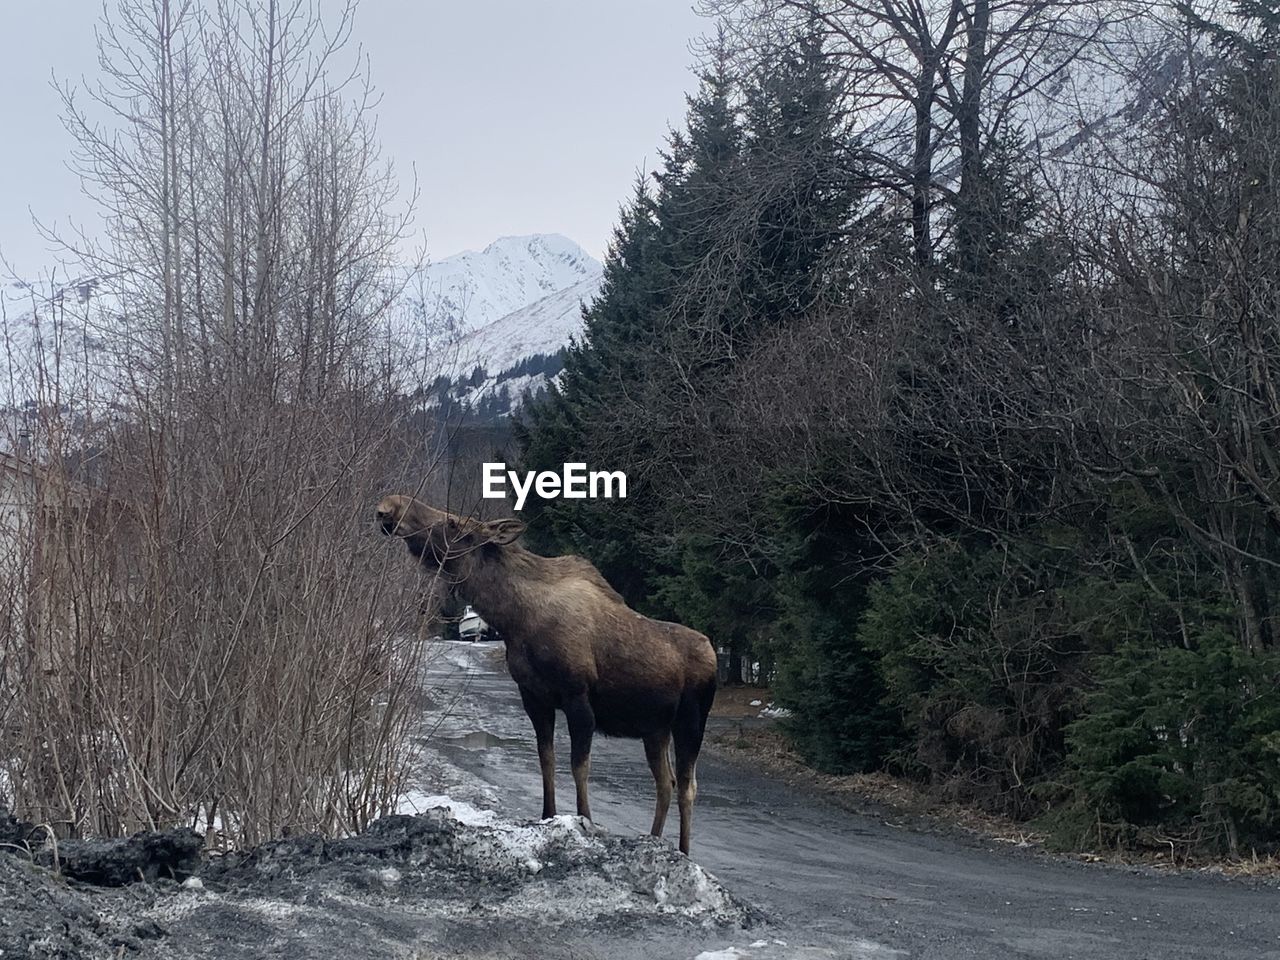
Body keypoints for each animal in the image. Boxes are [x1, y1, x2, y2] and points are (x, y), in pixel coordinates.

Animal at [376, 496, 721, 855]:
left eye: (453, 523)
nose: (390, 507)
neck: (514, 619)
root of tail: (713, 652)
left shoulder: (577, 696)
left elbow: (579, 766)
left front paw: (585, 820)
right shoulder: (533, 697)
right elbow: (546, 759)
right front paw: (548, 814)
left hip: (691, 720)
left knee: (687, 786)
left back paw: (683, 850)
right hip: (654, 728)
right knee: (665, 783)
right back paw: (654, 840)